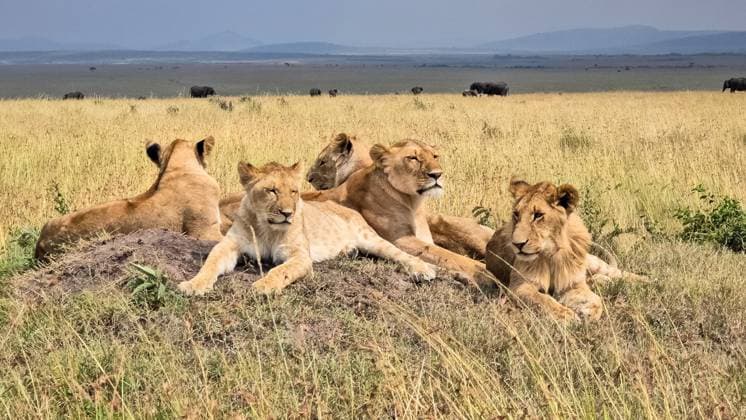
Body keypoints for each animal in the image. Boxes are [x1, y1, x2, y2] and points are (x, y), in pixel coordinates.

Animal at [178, 161, 435, 295]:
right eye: (272, 191)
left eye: (294, 192)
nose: (287, 213)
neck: (266, 227)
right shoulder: (229, 245)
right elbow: (210, 263)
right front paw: (194, 284)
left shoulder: (300, 256)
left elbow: (280, 271)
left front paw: (264, 286)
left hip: (371, 239)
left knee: (399, 253)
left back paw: (423, 269)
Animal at [303, 139, 498, 289]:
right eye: (412, 158)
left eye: (435, 156)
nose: (437, 174)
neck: (413, 202)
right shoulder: (401, 240)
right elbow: (450, 257)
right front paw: (484, 273)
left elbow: (446, 256)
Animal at [485, 179, 645, 321]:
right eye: (516, 214)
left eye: (538, 215)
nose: (517, 244)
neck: (550, 254)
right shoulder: (519, 286)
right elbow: (543, 300)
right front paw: (566, 315)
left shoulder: (572, 283)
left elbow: (597, 300)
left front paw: (589, 311)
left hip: (594, 264)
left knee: (620, 273)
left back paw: (646, 280)